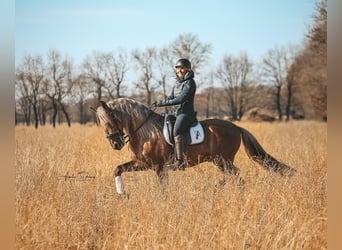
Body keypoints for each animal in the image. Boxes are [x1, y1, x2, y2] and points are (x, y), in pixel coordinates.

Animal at [90, 96, 294, 194]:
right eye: (101, 123)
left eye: (112, 118)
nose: (115, 144)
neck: (145, 131)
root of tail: (236, 127)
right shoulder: (142, 163)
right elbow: (117, 169)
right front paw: (121, 194)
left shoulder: (159, 167)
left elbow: (163, 188)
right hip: (220, 161)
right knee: (233, 176)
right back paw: (219, 188)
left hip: (223, 160)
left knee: (235, 175)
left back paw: (221, 189)